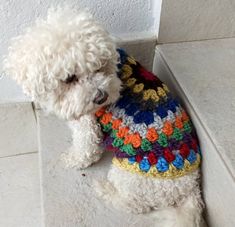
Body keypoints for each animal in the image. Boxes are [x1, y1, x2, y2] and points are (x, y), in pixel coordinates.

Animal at [3, 7, 204, 227]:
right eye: (70, 78)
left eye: (99, 66)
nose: (102, 97)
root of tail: (192, 188)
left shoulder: (87, 125)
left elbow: (85, 149)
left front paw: (73, 159)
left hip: (130, 173)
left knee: (134, 204)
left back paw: (105, 190)